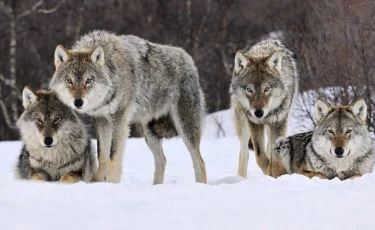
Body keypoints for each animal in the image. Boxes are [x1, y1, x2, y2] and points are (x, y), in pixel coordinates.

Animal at [48, 30, 207, 184]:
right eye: (69, 80)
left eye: (89, 80)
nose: (78, 102)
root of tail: (188, 59)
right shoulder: (101, 120)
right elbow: (102, 154)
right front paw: (98, 181)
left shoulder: (119, 119)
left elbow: (113, 155)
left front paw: (111, 183)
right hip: (149, 133)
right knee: (162, 160)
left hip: (185, 128)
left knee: (199, 161)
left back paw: (200, 185)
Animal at [231, 39, 298, 178]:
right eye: (249, 89)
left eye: (267, 89)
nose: (258, 113)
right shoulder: (254, 123)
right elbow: (260, 156)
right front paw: (268, 171)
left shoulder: (279, 123)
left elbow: (275, 159)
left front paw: (275, 174)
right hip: (243, 125)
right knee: (244, 154)